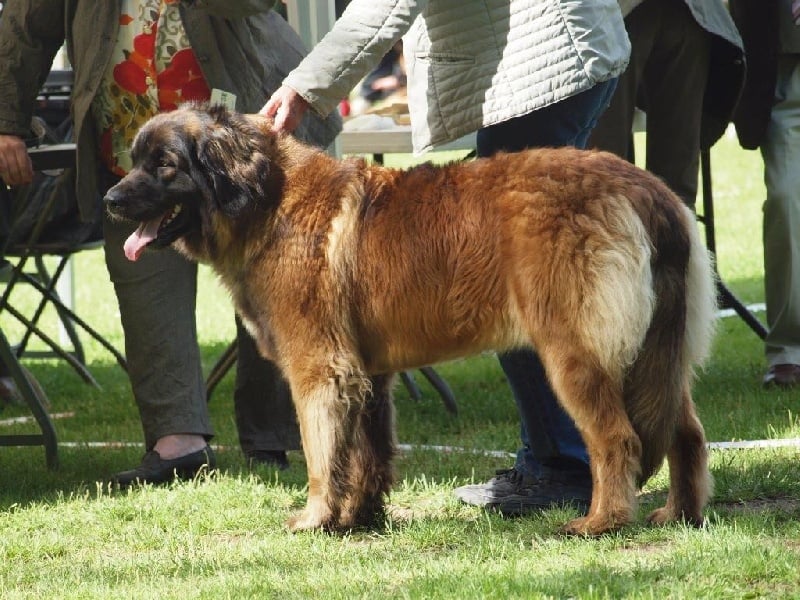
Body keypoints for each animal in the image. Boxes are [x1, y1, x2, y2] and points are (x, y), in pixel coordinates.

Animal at [103, 105, 716, 536]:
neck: (266, 201)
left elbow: (322, 455)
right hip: (660, 353)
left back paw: (600, 522)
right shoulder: (367, 374)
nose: (109, 199)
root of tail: (648, 191)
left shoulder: (319, 369)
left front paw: (315, 519)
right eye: (135, 159)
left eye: (164, 165)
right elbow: (367, 454)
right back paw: (678, 515)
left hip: (574, 355)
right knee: (686, 430)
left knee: (617, 438)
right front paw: (359, 519)